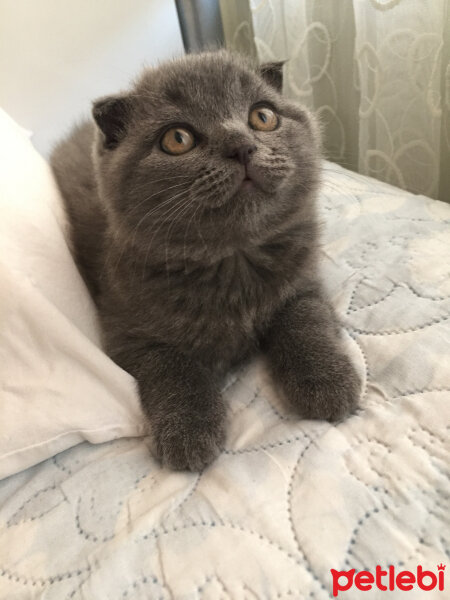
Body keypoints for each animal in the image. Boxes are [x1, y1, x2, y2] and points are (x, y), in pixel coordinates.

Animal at [51, 51, 360, 472]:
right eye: (177, 139)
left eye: (263, 116)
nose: (240, 144)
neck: (233, 259)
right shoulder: (126, 330)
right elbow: (169, 366)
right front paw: (189, 430)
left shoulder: (304, 280)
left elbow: (306, 321)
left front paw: (328, 381)